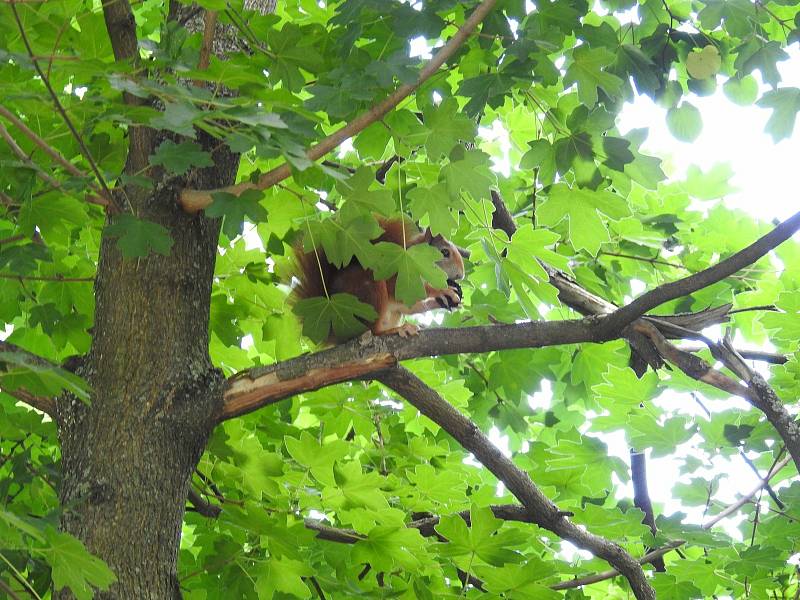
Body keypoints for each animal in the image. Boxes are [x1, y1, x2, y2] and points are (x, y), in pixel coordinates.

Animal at [290, 219, 468, 342]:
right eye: (445, 252)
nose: (461, 275)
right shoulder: (395, 277)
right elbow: (400, 291)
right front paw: (442, 291)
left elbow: (410, 307)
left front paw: (441, 302)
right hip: (369, 294)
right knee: (372, 331)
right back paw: (393, 331)